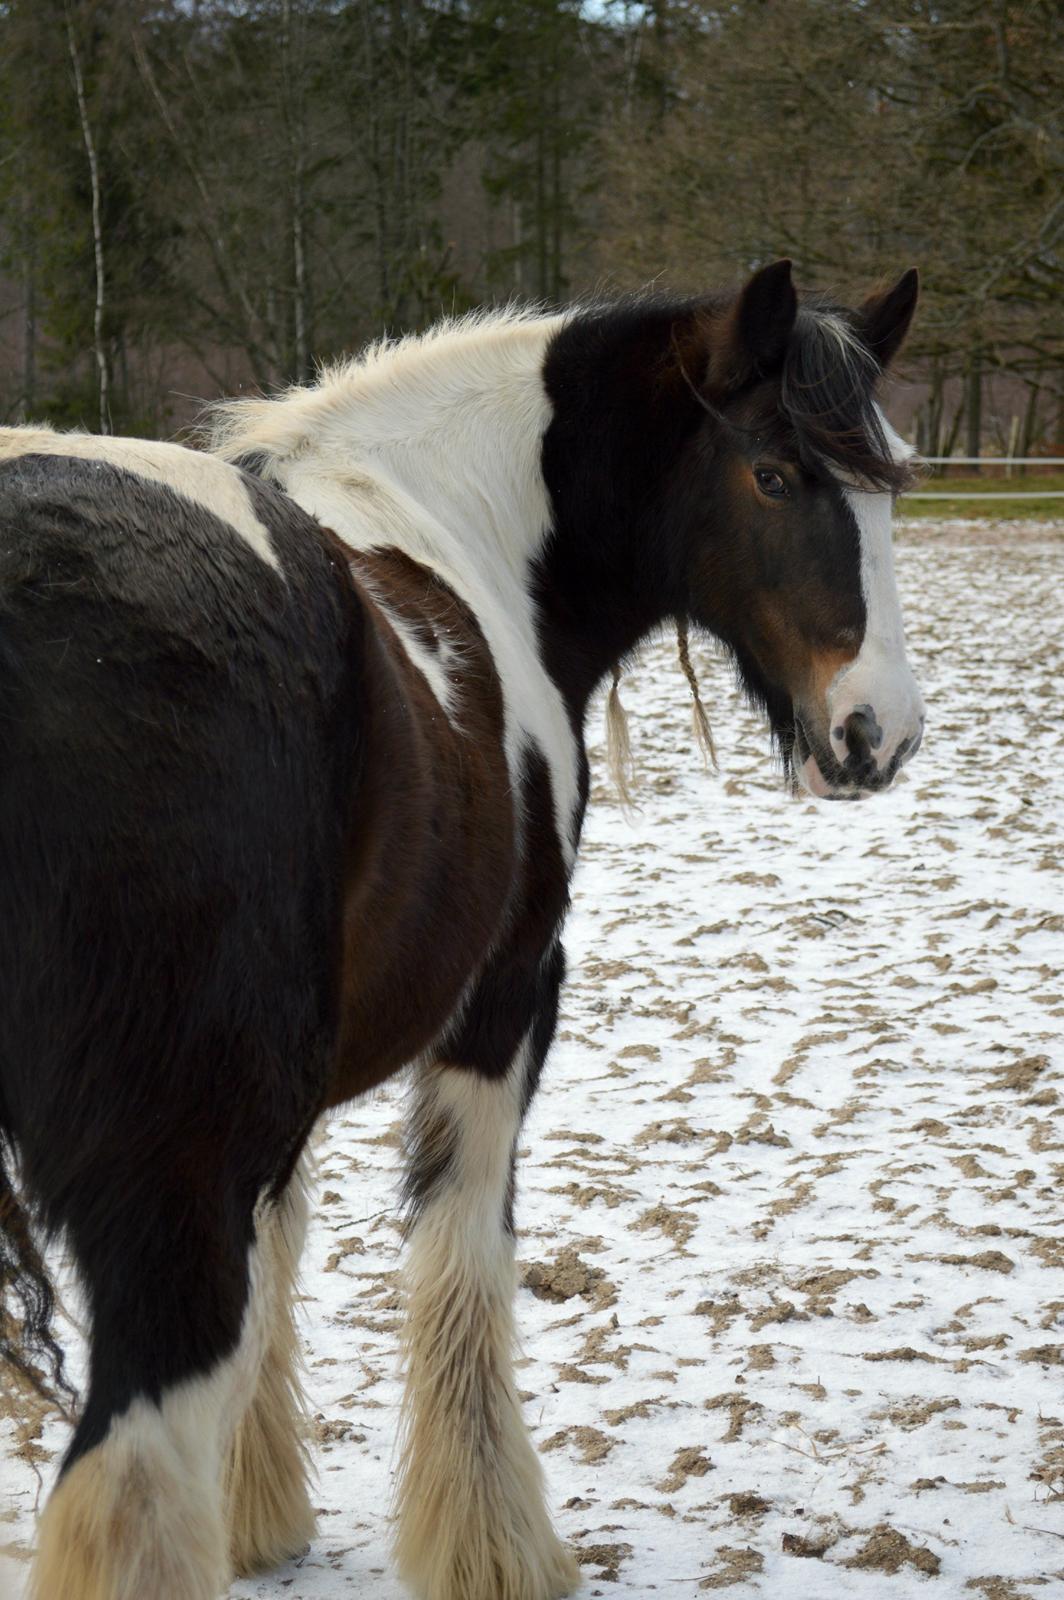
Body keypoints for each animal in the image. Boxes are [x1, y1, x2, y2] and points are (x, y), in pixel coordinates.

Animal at [0, 256, 921, 1593]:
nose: (876, 732)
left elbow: (282, 1257)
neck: (455, 528)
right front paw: (492, 1545)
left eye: (888, 476)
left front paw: (257, 1509)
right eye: (774, 473)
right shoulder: (504, 1003)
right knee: (129, 1478)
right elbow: (461, 1266)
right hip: (165, 1178)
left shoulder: (291, 1084)